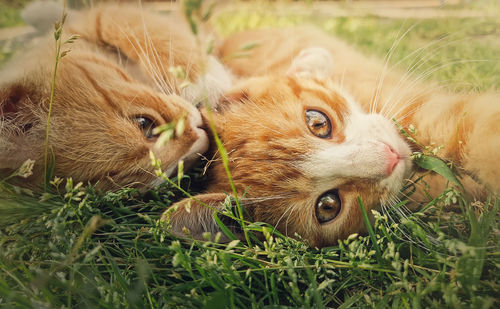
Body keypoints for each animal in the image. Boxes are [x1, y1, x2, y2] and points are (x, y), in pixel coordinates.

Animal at [0, 4, 230, 190]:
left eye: (144, 123)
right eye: (173, 174)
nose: (200, 140)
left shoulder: (90, 21)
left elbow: (118, 23)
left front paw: (204, 81)